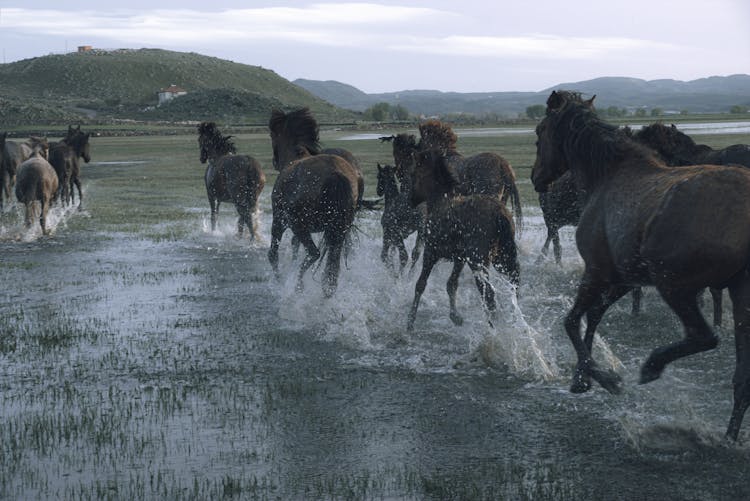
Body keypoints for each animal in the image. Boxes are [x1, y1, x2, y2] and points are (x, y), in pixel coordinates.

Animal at [268, 108, 362, 296]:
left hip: (299, 225)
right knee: (332, 263)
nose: (274, 161)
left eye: (273, 135)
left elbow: (273, 254)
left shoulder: (279, 221)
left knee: (314, 253)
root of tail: (335, 173)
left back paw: (298, 285)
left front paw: (279, 280)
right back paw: (326, 288)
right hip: (339, 230)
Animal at [408, 148, 520, 332]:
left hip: (479, 260)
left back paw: (493, 329)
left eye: (413, 175)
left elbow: (420, 284)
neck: (438, 201)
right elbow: (451, 285)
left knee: (488, 293)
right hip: (502, 257)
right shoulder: (459, 258)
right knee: (514, 284)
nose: (411, 199)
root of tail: (500, 215)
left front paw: (410, 321)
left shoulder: (431, 252)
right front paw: (456, 317)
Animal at [532, 91, 750, 442]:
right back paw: (728, 438)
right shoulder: (624, 277)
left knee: (704, 336)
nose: (536, 179)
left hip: (675, 285)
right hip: (740, 291)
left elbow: (572, 321)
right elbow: (593, 316)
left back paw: (652, 366)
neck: (606, 177)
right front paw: (583, 377)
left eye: (541, 132)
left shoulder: (596, 271)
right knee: (742, 378)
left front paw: (602, 378)